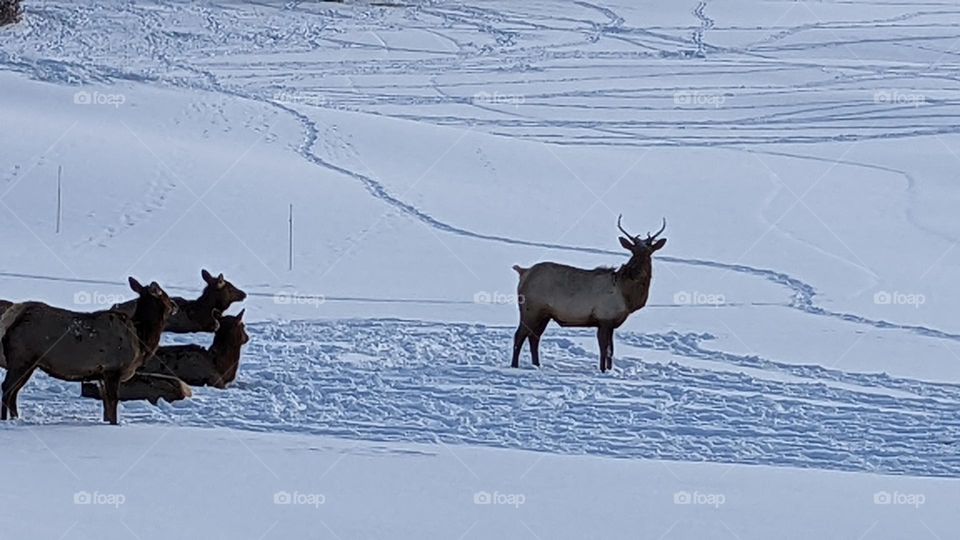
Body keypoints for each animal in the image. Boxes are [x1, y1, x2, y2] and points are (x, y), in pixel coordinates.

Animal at [0, 278, 177, 424]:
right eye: (164, 295)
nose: (175, 305)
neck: (141, 339)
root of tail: (13, 317)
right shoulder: (113, 369)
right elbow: (113, 401)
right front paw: (115, 424)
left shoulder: (101, 374)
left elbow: (106, 405)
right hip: (22, 358)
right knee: (7, 388)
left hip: (29, 362)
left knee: (13, 392)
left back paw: (15, 419)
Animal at [511, 216, 666, 373]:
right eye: (633, 251)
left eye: (649, 252)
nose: (636, 271)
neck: (627, 297)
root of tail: (523, 272)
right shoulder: (604, 318)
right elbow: (605, 349)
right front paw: (603, 370)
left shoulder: (610, 322)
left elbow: (611, 350)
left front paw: (609, 369)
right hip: (530, 309)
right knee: (520, 335)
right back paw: (514, 365)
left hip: (544, 314)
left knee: (534, 337)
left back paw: (537, 365)